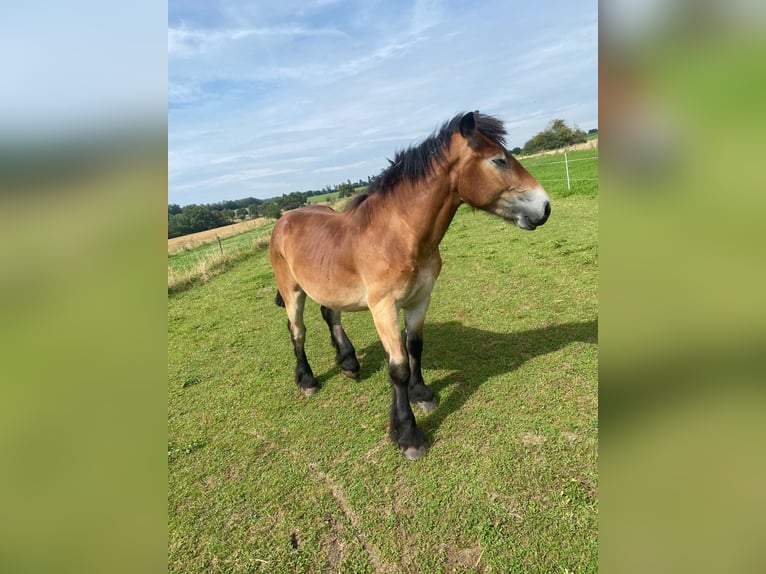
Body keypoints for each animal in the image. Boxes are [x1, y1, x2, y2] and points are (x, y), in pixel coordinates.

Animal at [272, 111, 552, 464]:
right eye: (498, 160)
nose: (545, 206)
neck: (398, 235)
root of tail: (283, 220)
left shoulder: (420, 299)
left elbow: (414, 347)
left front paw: (421, 394)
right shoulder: (383, 308)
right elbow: (398, 369)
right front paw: (408, 434)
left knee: (330, 315)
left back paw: (348, 362)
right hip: (292, 291)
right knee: (297, 330)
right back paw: (307, 379)